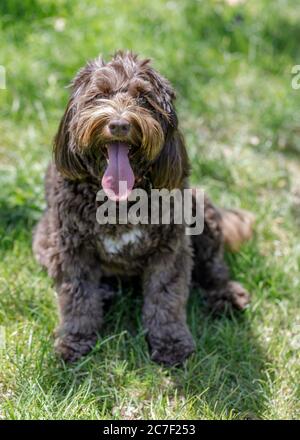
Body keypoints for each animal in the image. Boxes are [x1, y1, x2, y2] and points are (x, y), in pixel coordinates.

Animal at [32, 50, 253, 364]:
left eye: (144, 98)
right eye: (100, 94)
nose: (119, 124)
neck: (119, 202)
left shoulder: (170, 249)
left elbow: (166, 297)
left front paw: (171, 343)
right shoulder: (72, 248)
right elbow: (77, 296)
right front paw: (75, 341)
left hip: (201, 209)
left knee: (213, 266)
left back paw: (225, 295)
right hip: (43, 238)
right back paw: (105, 293)